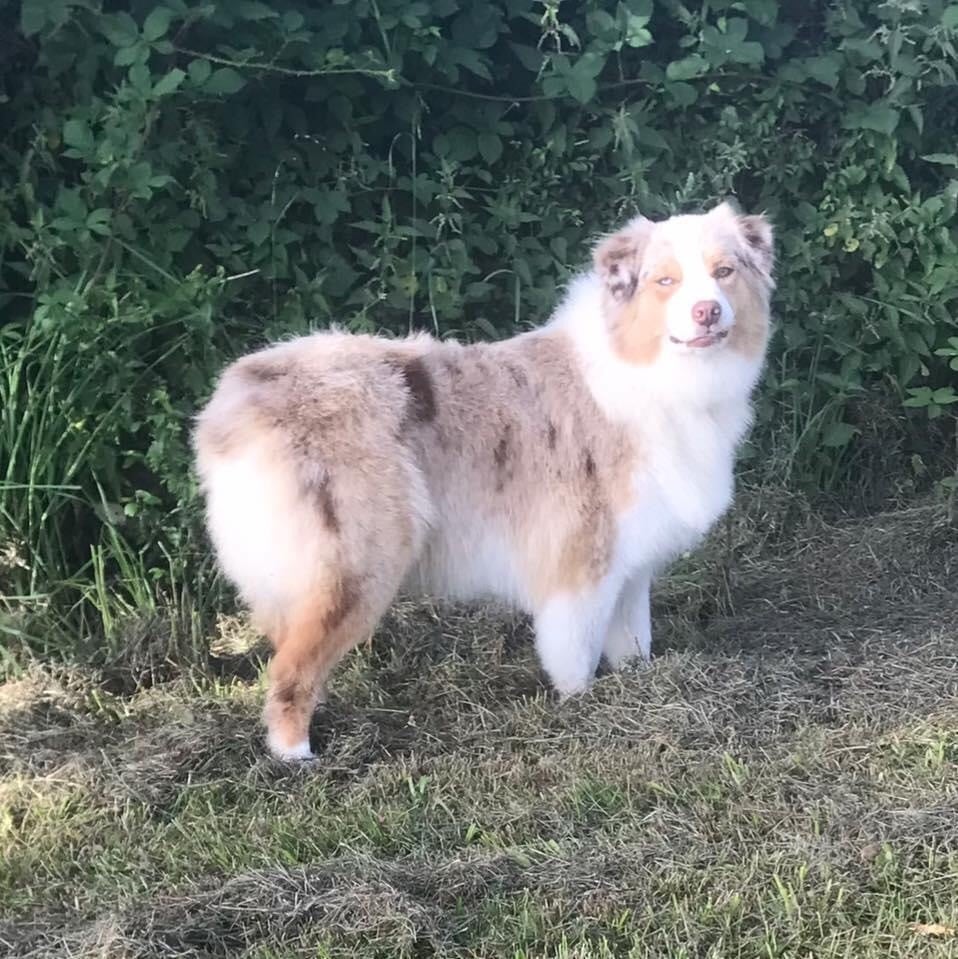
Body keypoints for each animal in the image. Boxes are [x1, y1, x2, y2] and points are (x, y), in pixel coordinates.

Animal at [193, 202, 772, 756]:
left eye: (724, 272)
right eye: (665, 281)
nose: (707, 312)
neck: (658, 375)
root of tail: (235, 402)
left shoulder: (628, 559)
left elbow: (634, 640)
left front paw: (639, 686)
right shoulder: (579, 561)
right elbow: (575, 655)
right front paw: (582, 709)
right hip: (356, 563)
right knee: (289, 669)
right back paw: (296, 754)